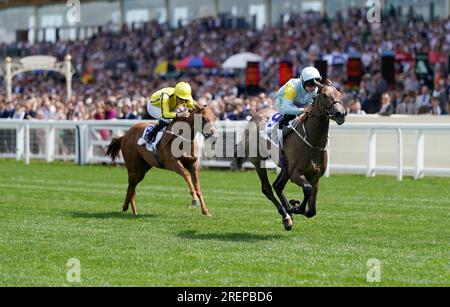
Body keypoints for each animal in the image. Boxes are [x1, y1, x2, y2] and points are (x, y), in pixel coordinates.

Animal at [234, 81, 346, 231]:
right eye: (324, 95)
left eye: (339, 93)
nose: (341, 114)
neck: (312, 140)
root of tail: (254, 115)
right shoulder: (296, 174)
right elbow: (307, 189)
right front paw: (295, 207)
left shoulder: (315, 177)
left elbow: (312, 210)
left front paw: (294, 205)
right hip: (259, 161)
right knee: (267, 188)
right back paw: (286, 214)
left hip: (285, 166)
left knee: (278, 186)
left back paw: (287, 215)